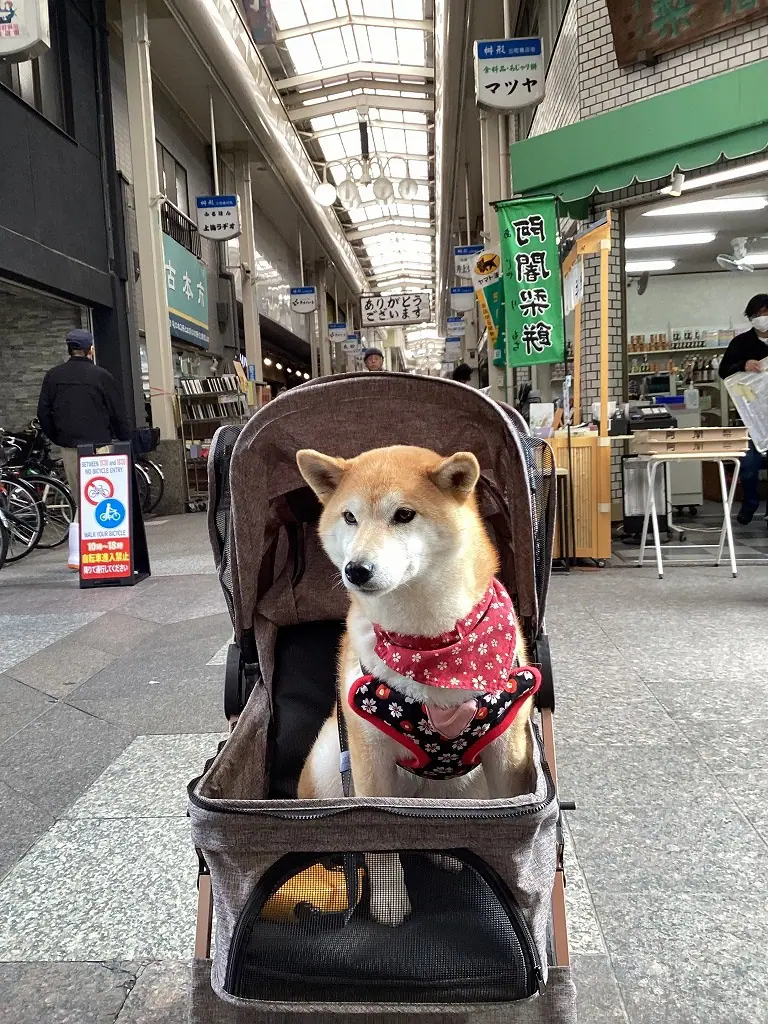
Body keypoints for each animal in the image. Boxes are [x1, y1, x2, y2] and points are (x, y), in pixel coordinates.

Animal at [294, 444, 540, 925]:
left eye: (404, 515)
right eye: (349, 517)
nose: (356, 569)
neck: (432, 642)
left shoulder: (509, 753)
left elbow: (509, 823)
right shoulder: (370, 762)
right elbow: (382, 843)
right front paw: (390, 903)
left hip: (467, 785)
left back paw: (444, 853)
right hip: (332, 760)